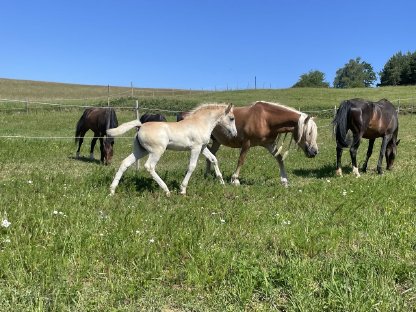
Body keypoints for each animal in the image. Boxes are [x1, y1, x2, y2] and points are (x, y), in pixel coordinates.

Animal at [106, 103, 237, 196]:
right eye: (231, 118)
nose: (235, 134)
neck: (200, 123)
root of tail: (141, 126)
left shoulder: (202, 147)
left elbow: (213, 159)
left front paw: (222, 182)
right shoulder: (195, 147)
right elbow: (192, 166)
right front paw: (183, 189)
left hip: (140, 151)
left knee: (125, 163)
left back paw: (112, 190)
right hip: (157, 151)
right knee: (149, 166)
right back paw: (166, 190)